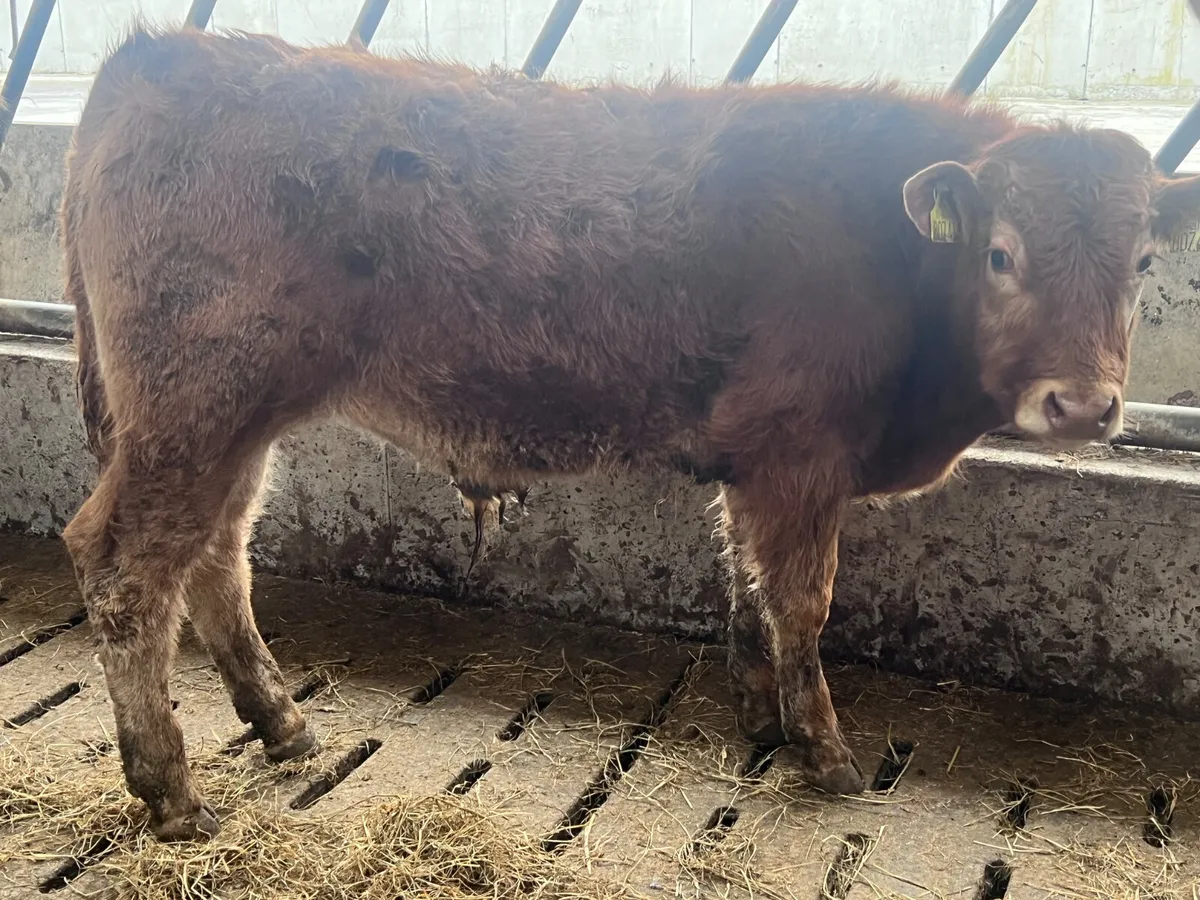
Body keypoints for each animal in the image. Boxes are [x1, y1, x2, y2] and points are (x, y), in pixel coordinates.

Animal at [59, 24, 1200, 842]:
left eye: (1144, 263)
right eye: (1002, 254)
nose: (1082, 407)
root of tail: (156, 53)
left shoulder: (751, 466)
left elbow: (746, 587)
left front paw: (760, 719)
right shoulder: (800, 457)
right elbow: (803, 602)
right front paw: (826, 753)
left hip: (233, 422)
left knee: (217, 556)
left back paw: (282, 722)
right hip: (193, 412)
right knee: (125, 570)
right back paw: (171, 790)